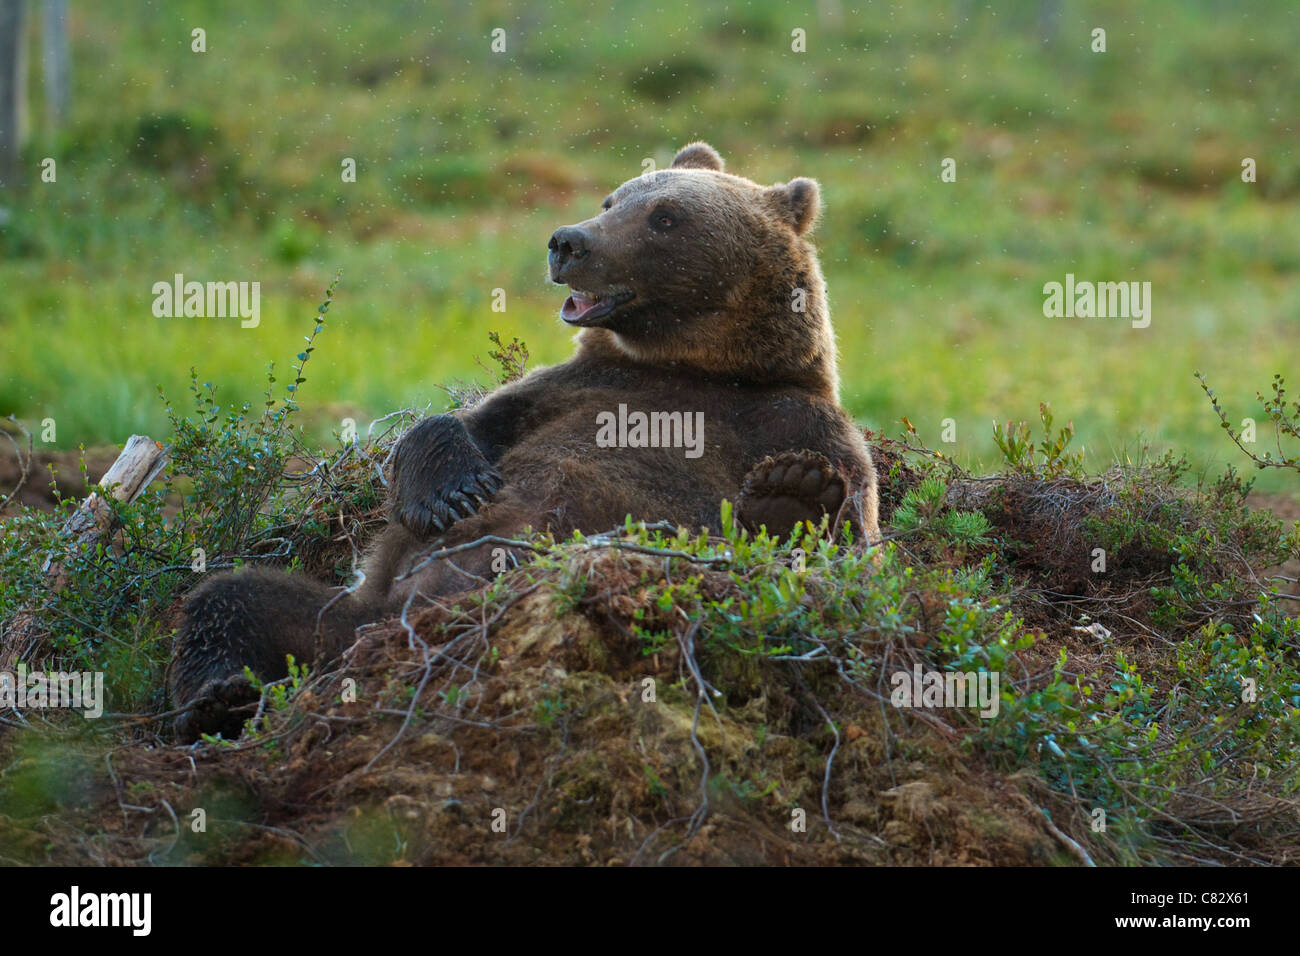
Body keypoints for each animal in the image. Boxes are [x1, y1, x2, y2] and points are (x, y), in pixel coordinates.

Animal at [170, 140, 883, 738]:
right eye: (613, 199)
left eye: (665, 216)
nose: (569, 241)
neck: (695, 367)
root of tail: (395, 631)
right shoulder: (574, 389)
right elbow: (463, 426)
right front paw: (451, 491)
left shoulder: (790, 418)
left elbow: (856, 539)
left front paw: (794, 492)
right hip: (351, 614)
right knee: (229, 600)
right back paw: (216, 700)